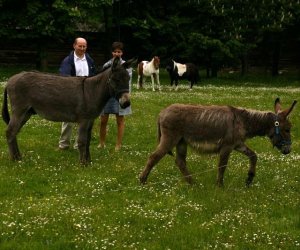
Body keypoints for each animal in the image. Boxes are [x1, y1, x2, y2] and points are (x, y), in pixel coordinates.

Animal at [1, 57, 135, 164]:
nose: (126, 103)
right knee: (10, 131)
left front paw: (89, 161)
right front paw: (83, 164)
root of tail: (10, 80)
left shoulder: (90, 120)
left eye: (128, 79)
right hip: (19, 110)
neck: (92, 91)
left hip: (27, 113)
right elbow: (82, 141)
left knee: (14, 132)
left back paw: (18, 157)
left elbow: (88, 140)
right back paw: (15, 159)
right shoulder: (84, 120)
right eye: (116, 80)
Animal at [139, 98, 296, 187]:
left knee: (180, 161)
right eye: (287, 129)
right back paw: (142, 181)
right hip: (170, 139)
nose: (288, 150)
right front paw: (220, 186)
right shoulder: (227, 146)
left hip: (181, 142)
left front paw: (249, 179)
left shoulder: (238, 144)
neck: (243, 120)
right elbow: (222, 166)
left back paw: (193, 184)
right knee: (154, 157)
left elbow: (253, 155)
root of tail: (161, 113)